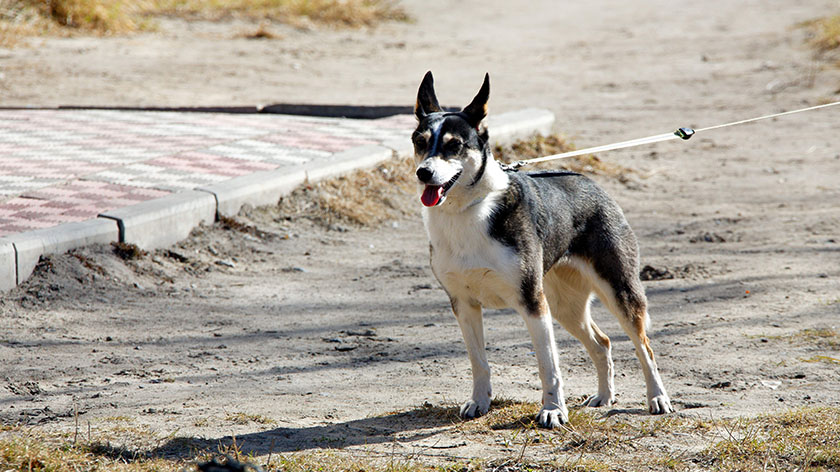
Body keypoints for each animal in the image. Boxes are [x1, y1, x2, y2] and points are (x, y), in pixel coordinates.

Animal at [414, 71, 676, 428]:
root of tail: (590, 182)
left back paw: (657, 397)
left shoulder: (533, 304)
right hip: (565, 306)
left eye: (454, 145)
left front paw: (553, 410)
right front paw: (479, 402)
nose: (423, 172)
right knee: (602, 343)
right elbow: (479, 363)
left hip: (617, 293)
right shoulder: (464, 305)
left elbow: (548, 367)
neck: (467, 211)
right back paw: (604, 396)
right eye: (419, 141)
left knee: (644, 348)